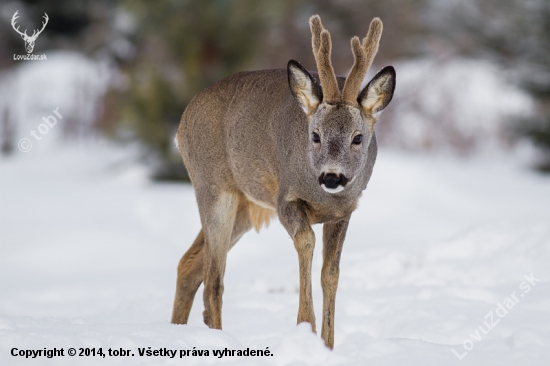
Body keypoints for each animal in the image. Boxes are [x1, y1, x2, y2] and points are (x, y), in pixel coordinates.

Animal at [172, 14, 396, 348]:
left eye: (357, 138)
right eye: (315, 135)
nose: (332, 176)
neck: (323, 197)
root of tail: (181, 123)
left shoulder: (344, 213)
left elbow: (331, 273)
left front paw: (328, 345)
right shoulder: (285, 201)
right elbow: (306, 242)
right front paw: (306, 327)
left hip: (245, 205)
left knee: (189, 265)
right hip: (213, 187)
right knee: (214, 277)